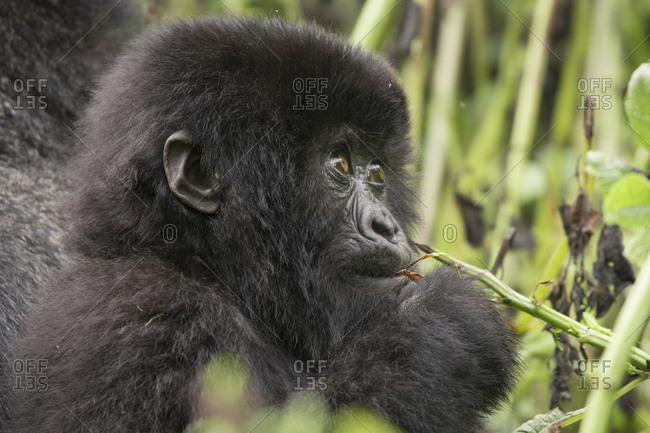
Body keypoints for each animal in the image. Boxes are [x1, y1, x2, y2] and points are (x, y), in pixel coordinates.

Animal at [6, 17, 517, 433]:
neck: (203, 268)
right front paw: (445, 325)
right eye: (339, 163)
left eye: (376, 173)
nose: (386, 226)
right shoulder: (142, 319)